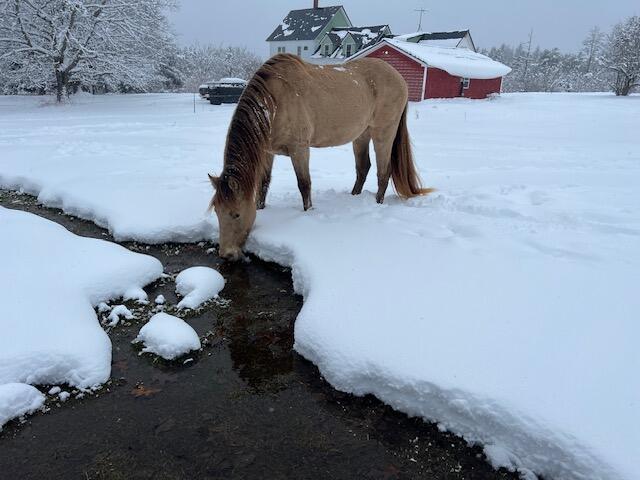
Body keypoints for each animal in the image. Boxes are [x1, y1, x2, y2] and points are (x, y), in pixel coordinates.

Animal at [208, 54, 432, 260]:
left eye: (236, 214)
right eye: (217, 211)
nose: (226, 254)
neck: (275, 101)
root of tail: (398, 77)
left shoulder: (299, 149)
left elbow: (304, 184)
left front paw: (308, 214)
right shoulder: (267, 152)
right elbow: (264, 183)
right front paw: (261, 208)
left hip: (383, 133)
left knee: (383, 172)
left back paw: (377, 205)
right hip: (361, 135)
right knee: (363, 168)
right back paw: (354, 197)